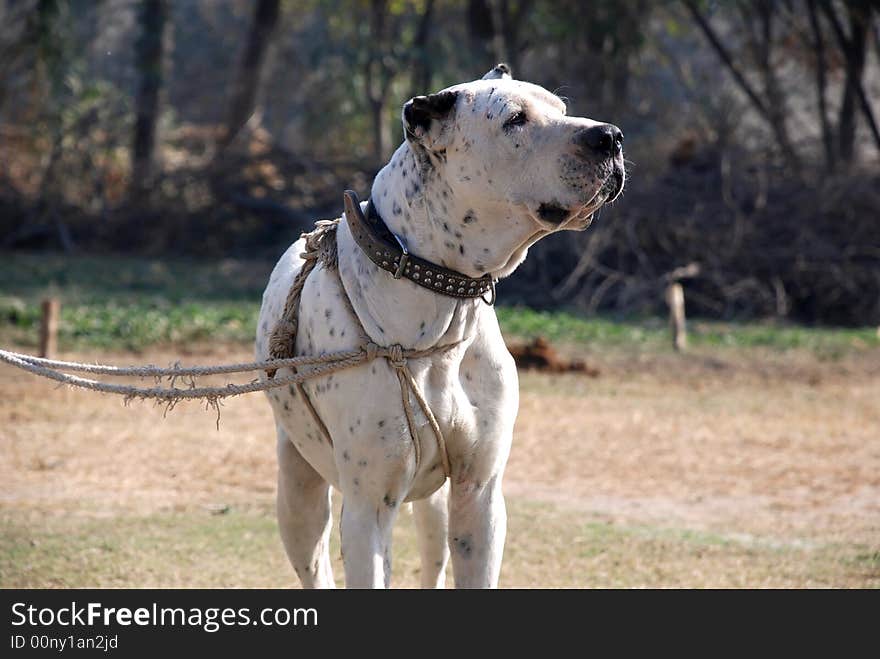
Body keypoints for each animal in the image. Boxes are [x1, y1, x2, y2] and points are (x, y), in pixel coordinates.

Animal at [254, 64, 624, 592]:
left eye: (561, 108)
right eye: (515, 120)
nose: (610, 136)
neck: (442, 306)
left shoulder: (480, 496)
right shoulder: (368, 510)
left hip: (433, 504)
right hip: (299, 492)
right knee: (314, 560)